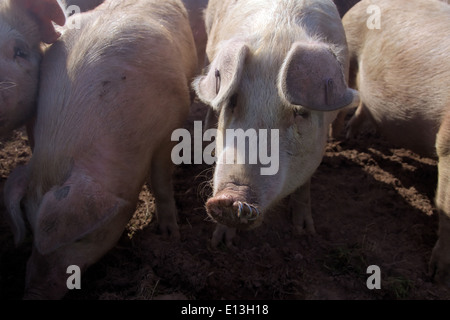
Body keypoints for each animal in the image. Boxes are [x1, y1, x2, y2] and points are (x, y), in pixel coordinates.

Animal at [192, 0, 358, 248]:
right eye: (233, 101)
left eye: (300, 112)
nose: (231, 198)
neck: (279, 34)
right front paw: (220, 242)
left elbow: (304, 185)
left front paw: (304, 231)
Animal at [338, 0, 450, 284]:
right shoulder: (447, 141)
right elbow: (446, 205)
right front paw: (437, 276)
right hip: (349, 49)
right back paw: (340, 141)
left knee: (363, 104)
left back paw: (349, 138)